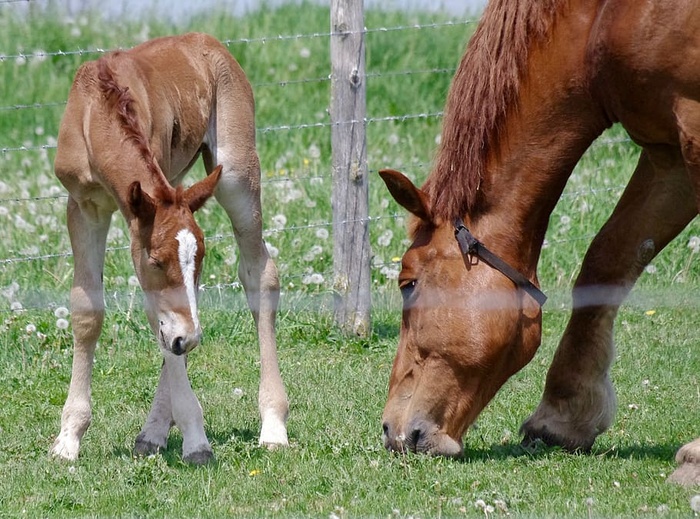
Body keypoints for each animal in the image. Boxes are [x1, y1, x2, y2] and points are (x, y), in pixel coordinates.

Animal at [50, 31, 288, 464]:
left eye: (202, 257)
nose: (190, 340)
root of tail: (207, 41)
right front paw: (68, 438)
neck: (96, 112)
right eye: (157, 259)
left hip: (235, 174)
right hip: (182, 184)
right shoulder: (83, 206)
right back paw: (152, 433)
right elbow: (89, 311)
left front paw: (196, 440)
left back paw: (273, 424)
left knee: (259, 274)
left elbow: (158, 320)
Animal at [380, 0, 696, 486]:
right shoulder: (669, 152)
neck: (600, 23)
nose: (391, 431)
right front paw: (566, 415)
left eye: (408, 284)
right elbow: (610, 257)